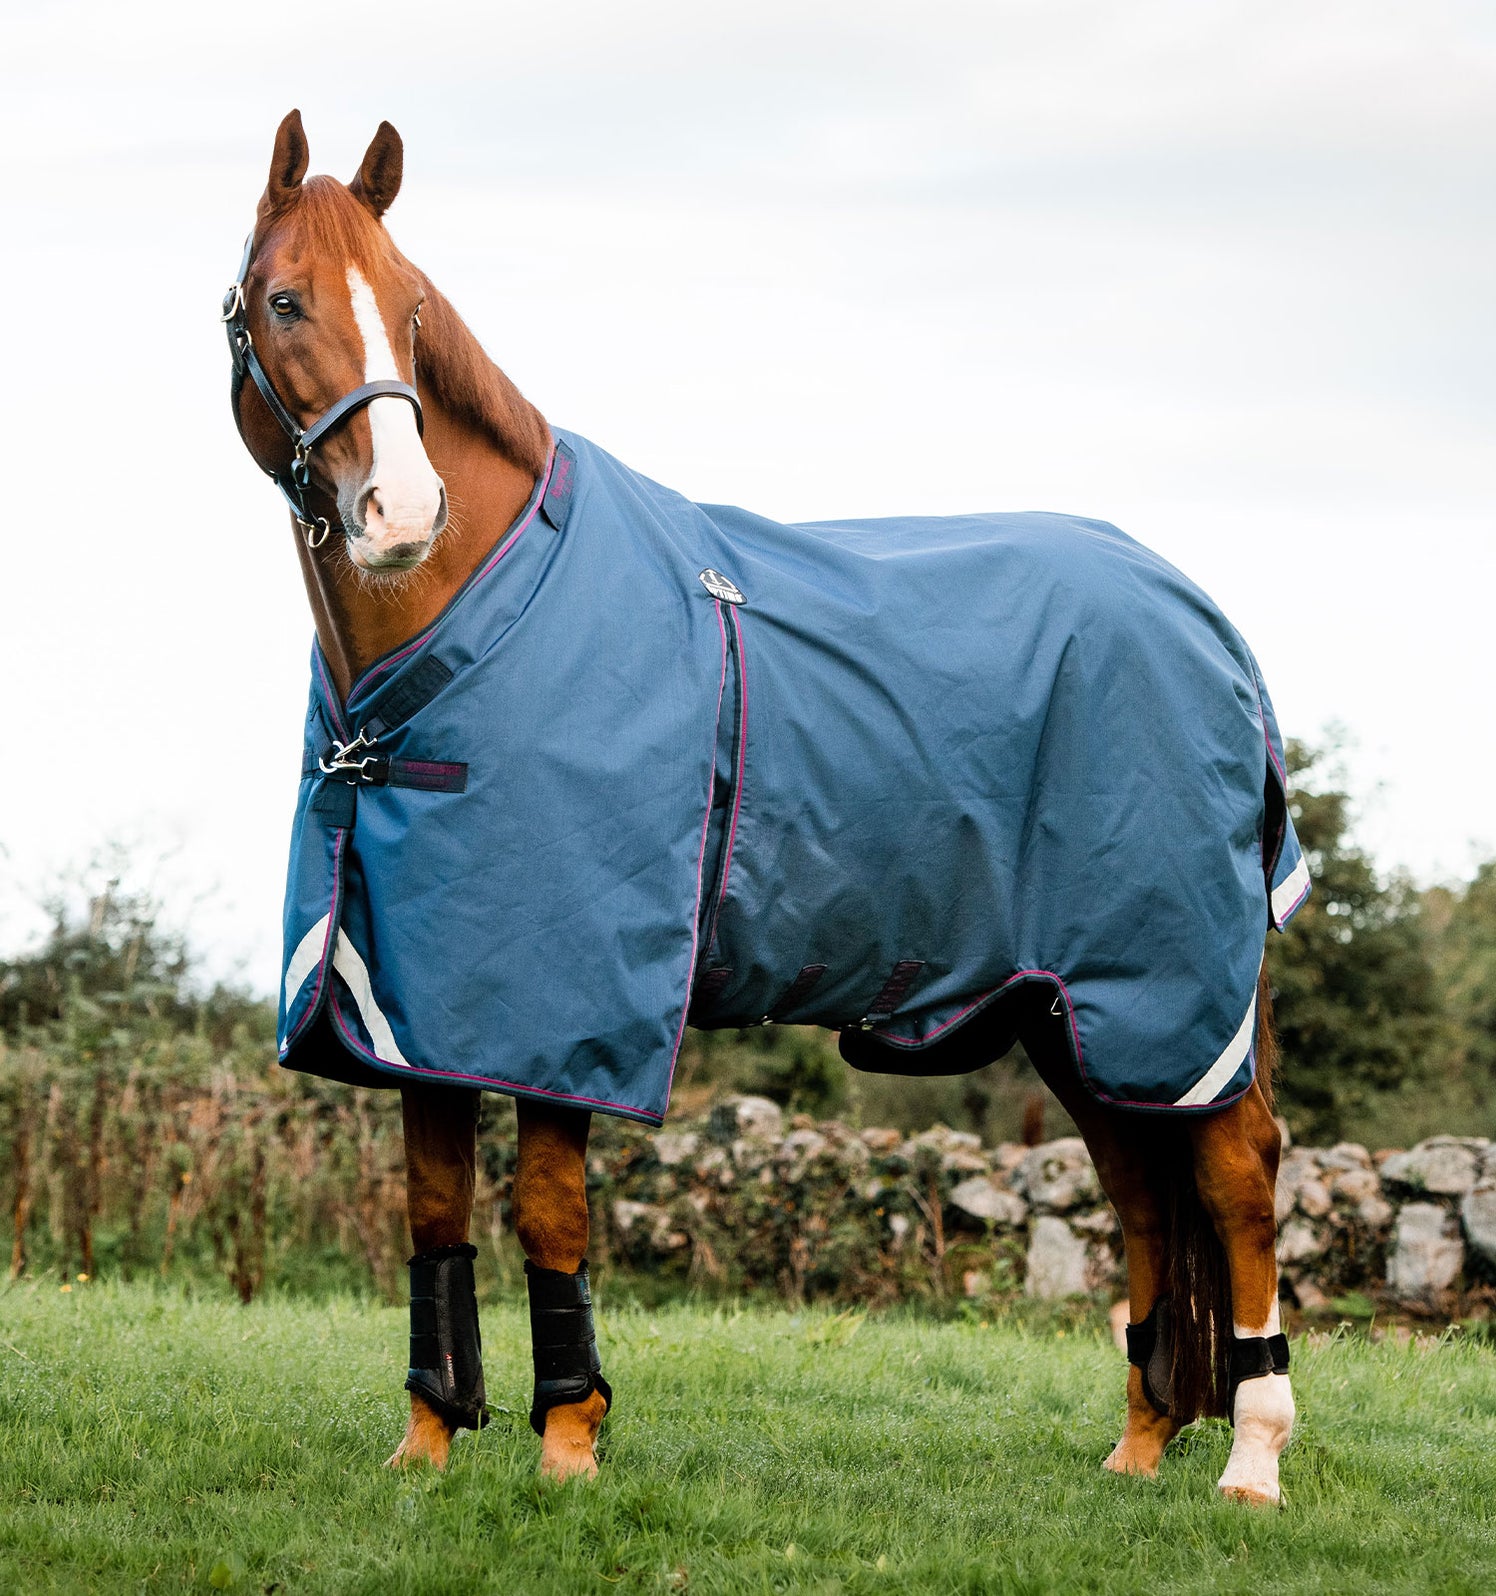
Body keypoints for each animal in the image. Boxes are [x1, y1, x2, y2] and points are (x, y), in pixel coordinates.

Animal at [226, 110, 1299, 1504]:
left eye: (412, 310)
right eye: (285, 301)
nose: (400, 513)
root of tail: (1204, 620)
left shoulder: (560, 1007)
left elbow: (548, 1211)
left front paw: (569, 1442)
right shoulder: (418, 1000)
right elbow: (432, 1206)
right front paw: (427, 1443)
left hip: (1169, 993)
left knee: (1232, 1178)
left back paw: (1252, 1458)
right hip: (1071, 1012)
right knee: (1139, 1189)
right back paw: (1138, 1445)